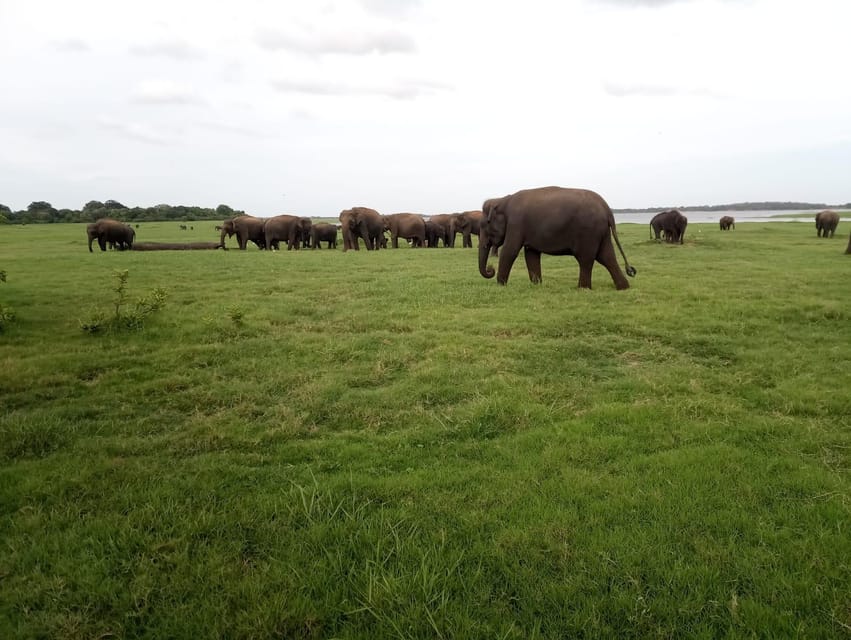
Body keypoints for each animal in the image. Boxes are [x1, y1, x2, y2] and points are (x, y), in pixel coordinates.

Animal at [479, 186, 636, 290]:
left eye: (485, 225)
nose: (490, 268)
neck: (503, 200)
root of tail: (607, 209)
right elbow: (531, 254)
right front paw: (536, 285)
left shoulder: (515, 223)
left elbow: (510, 251)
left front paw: (500, 285)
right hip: (601, 232)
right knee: (607, 257)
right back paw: (623, 287)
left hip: (588, 232)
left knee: (586, 259)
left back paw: (582, 288)